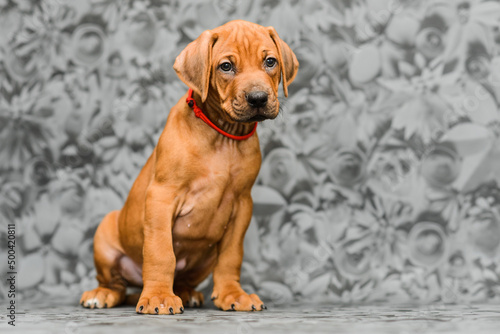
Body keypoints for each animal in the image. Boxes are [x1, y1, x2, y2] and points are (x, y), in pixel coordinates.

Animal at [78, 20, 296, 314]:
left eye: (270, 61)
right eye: (226, 66)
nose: (259, 98)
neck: (223, 135)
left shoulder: (242, 206)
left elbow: (231, 256)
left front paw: (233, 294)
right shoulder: (161, 197)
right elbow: (161, 253)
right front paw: (158, 297)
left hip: (204, 258)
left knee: (184, 277)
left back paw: (186, 292)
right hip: (105, 233)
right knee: (116, 283)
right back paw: (103, 294)